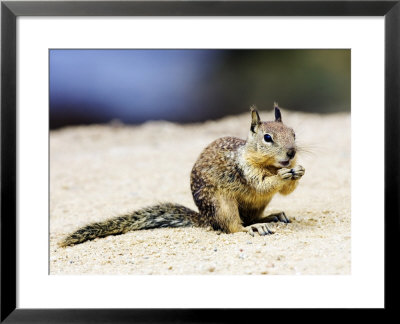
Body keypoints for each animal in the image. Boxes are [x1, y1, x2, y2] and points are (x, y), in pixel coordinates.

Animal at [58, 104, 304, 248]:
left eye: (293, 133)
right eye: (267, 138)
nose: (291, 153)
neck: (269, 165)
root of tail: (205, 218)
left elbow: (286, 189)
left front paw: (299, 171)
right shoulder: (245, 170)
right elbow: (262, 184)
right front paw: (283, 175)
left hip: (254, 206)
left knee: (251, 218)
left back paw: (271, 217)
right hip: (222, 205)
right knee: (232, 227)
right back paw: (253, 228)